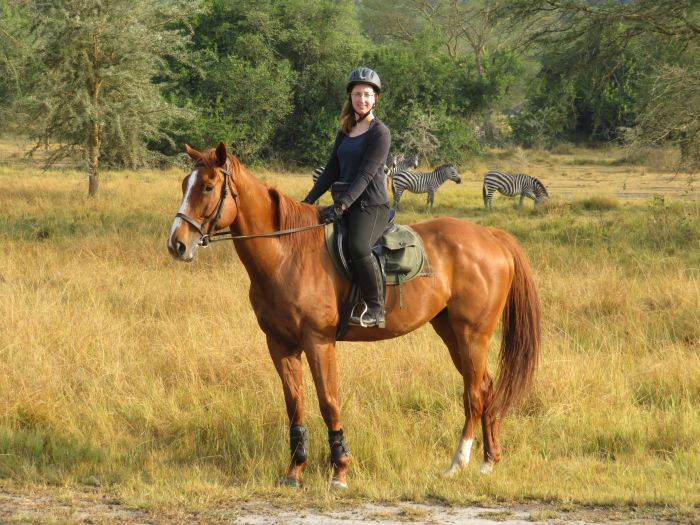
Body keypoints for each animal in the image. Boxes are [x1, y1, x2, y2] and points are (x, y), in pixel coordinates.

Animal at [168, 142, 540, 488]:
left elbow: (328, 402)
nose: (177, 244)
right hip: (450, 331)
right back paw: (489, 461)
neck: (288, 253)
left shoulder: (318, 342)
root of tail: (491, 236)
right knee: (486, 387)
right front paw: (294, 471)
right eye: (185, 183)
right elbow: (295, 404)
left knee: (474, 393)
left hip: (472, 334)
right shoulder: (280, 344)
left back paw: (457, 463)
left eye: (208, 187)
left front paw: (339, 470)